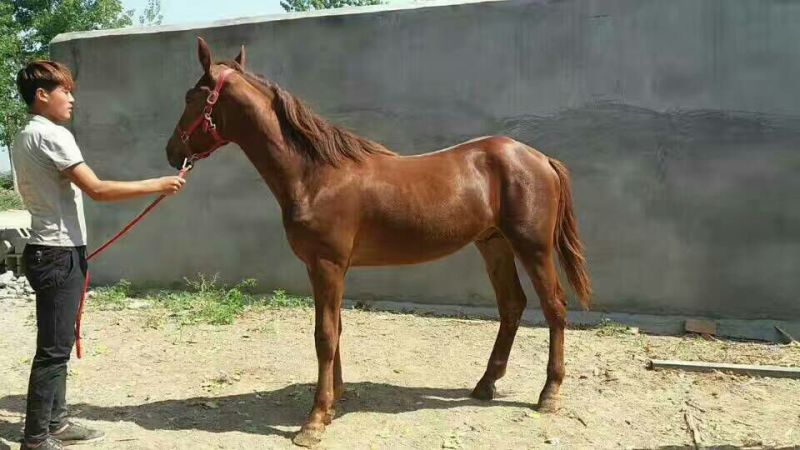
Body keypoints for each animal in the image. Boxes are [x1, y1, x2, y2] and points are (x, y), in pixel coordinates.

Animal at [165, 38, 591, 447]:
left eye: (190, 96)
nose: (172, 151)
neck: (316, 175)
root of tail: (540, 158)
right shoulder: (321, 267)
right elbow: (334, 329)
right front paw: (333, 402)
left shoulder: (328, 265)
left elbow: (324, 335)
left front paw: (314, 422)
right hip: (494, 245)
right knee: (512, 305)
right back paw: (485, 385)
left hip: (532, 248)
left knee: (554, 307)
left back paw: (548, 394)